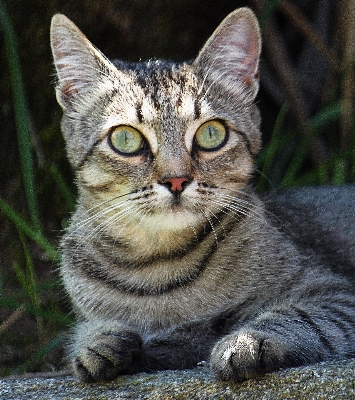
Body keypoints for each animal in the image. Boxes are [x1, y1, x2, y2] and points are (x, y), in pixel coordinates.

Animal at [49, 6, 355, 382]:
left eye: (211, 134)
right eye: (125, 139)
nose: (176, 180)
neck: (157, 269)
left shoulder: (334, 293)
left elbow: (298, 316)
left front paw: (247, 341)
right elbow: (85, 335)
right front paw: (96, 341)